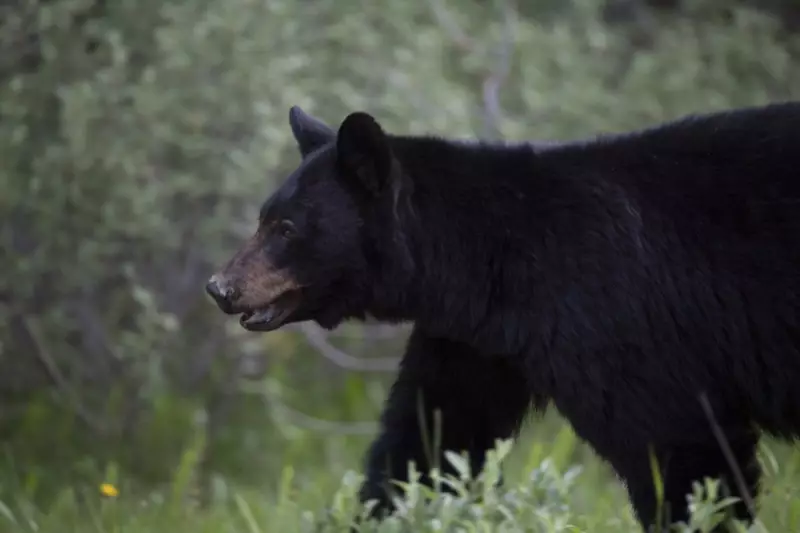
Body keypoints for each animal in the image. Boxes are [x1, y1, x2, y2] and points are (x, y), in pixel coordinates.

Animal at [205, 101, 800, 532]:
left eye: (286, 228)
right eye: (262, 218)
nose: (220, 288)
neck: (491, 261)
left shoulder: (613, 316)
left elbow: (679, 445)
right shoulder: (475, 342)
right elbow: (431, 441)